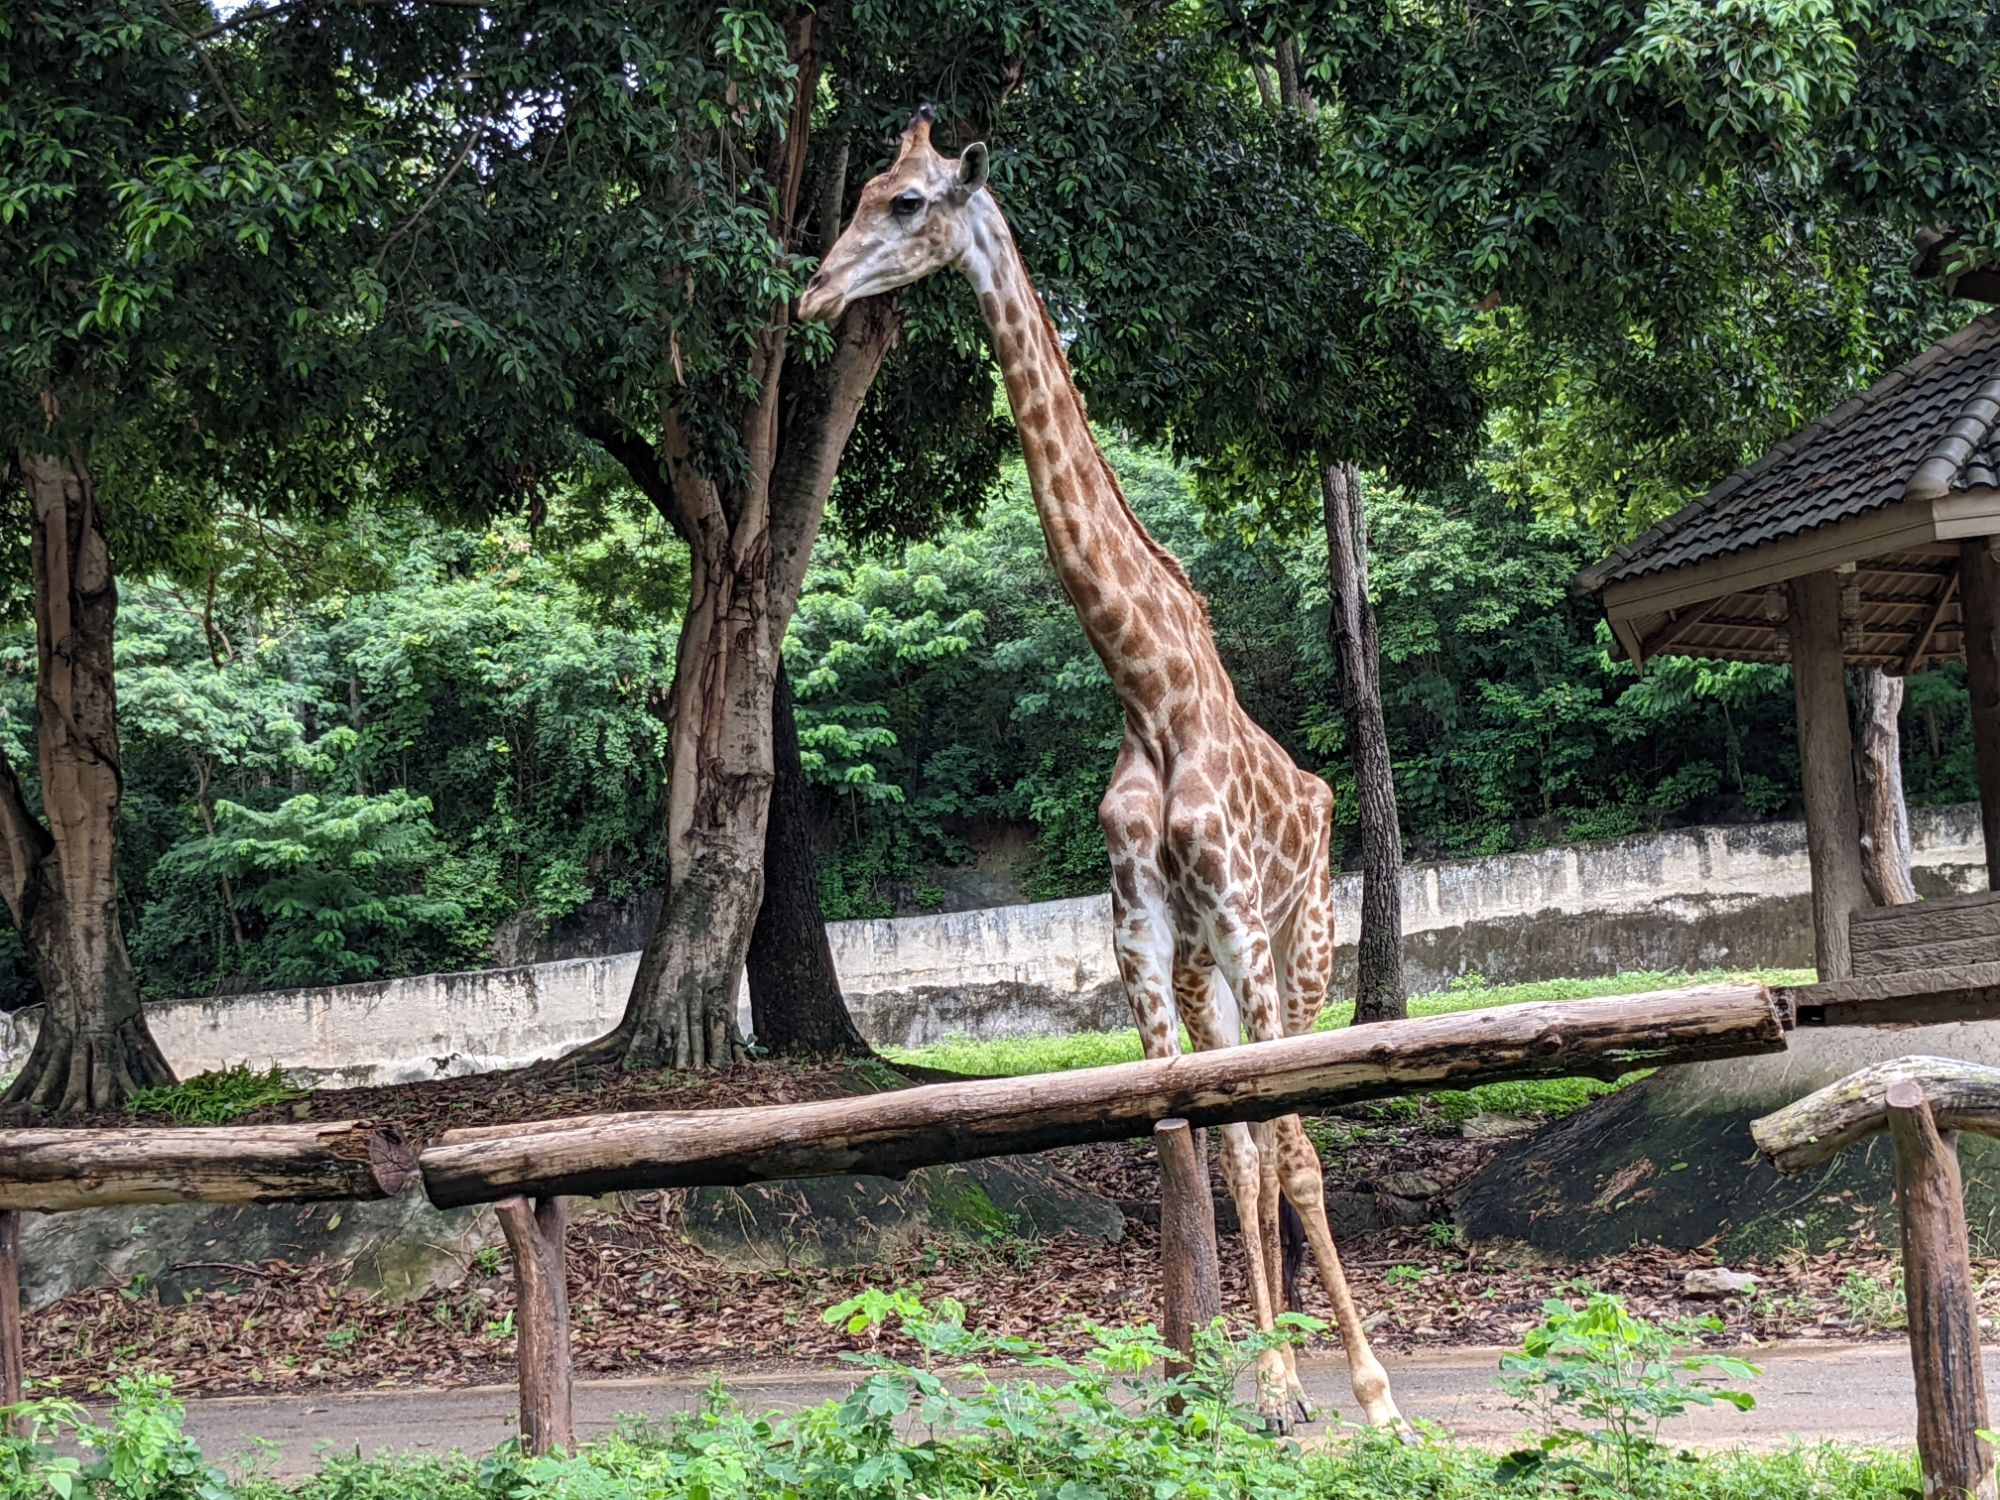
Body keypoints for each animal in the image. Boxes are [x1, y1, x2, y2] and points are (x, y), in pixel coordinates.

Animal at [800, 108, 1408, 1432]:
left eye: (908, 201)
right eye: (860, 190)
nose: (813, 292)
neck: (1150, 689)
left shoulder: (1238, 924)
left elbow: (1286, 1146)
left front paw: (1362, 1391)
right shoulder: (1141, 943)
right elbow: (1189, 1149)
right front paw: (1209, 1387)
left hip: (1301, 948)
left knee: (1291, 1139)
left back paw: (1343, 1375)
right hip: (1205, 971)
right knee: (1242, 1146)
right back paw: (1278, 1371)